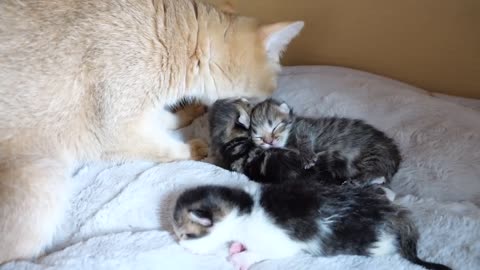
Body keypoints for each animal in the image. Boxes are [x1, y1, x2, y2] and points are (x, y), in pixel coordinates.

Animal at [172, 181, 450, 270]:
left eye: (186, 235)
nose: (178, 244)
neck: (245, 207)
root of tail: (394, 213)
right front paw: (237, 247)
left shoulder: (284, 243)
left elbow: (262, 252)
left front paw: (241, 257)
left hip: (375, 243)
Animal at [249, 98, 404, 185]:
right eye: (259, 137)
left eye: (275, 127)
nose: (269, 141)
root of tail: (396, 155)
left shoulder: (306, 127)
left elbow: (304, 139)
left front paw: (308, 156)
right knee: (381, 176)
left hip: (374, 153)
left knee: (377, 172)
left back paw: (358, 180)